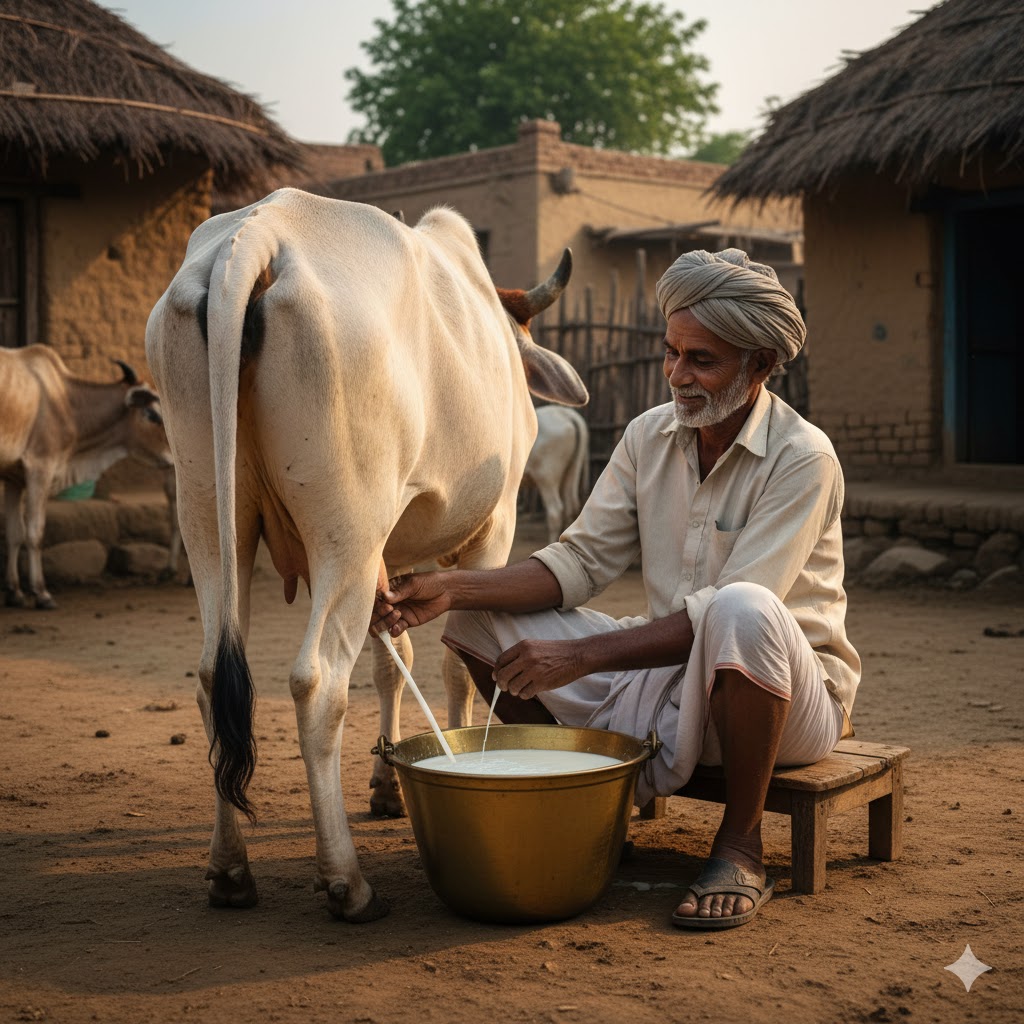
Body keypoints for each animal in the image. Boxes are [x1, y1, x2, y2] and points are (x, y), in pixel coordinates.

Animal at [1, 346, 171, 609]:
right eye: (153, 415)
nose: (175, 457)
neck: (66, 401)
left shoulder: (13, 477)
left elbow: (14, 534)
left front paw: (14, 592)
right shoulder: (40, 467)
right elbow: (35, 533)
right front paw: (41, 592)